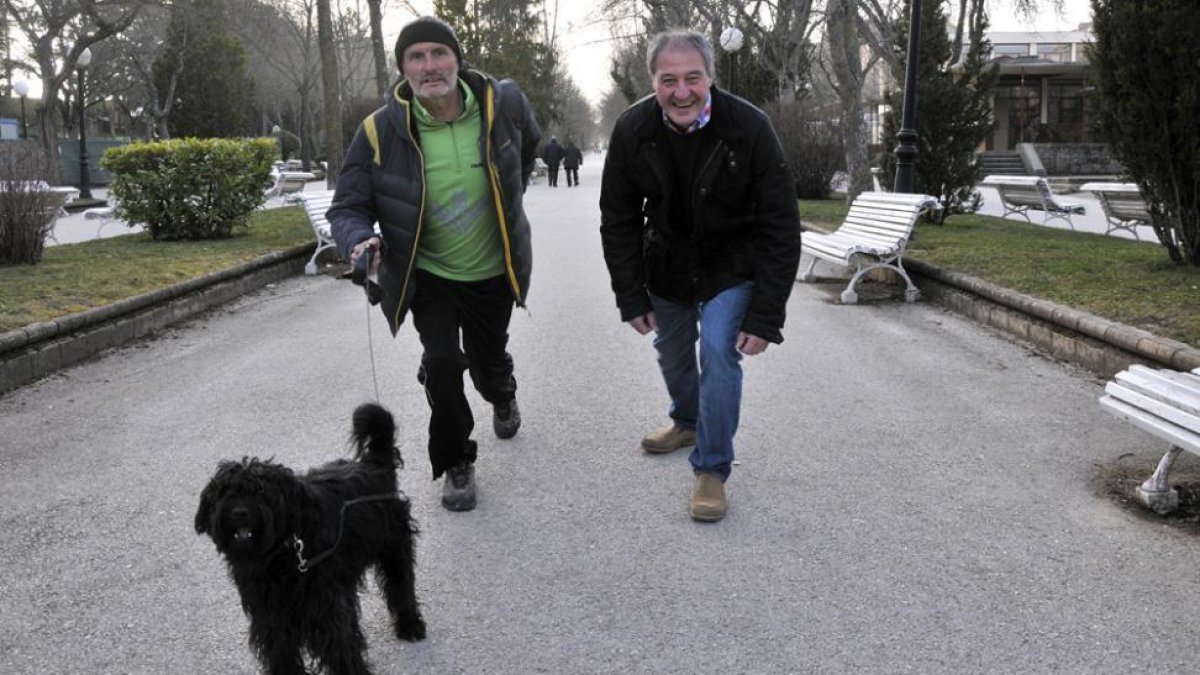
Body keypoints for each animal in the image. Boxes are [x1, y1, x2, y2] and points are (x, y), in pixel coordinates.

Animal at [194, 401, 424, 667]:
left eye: (261, 492)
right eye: (224, 492)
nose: (239, 512)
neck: (281, 554)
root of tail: (375, 463)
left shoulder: (326, 608)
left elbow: (340, 646)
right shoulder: (270, 615)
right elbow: (280, 650)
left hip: (394, 545)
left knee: (401, 583)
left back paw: (411, 624)